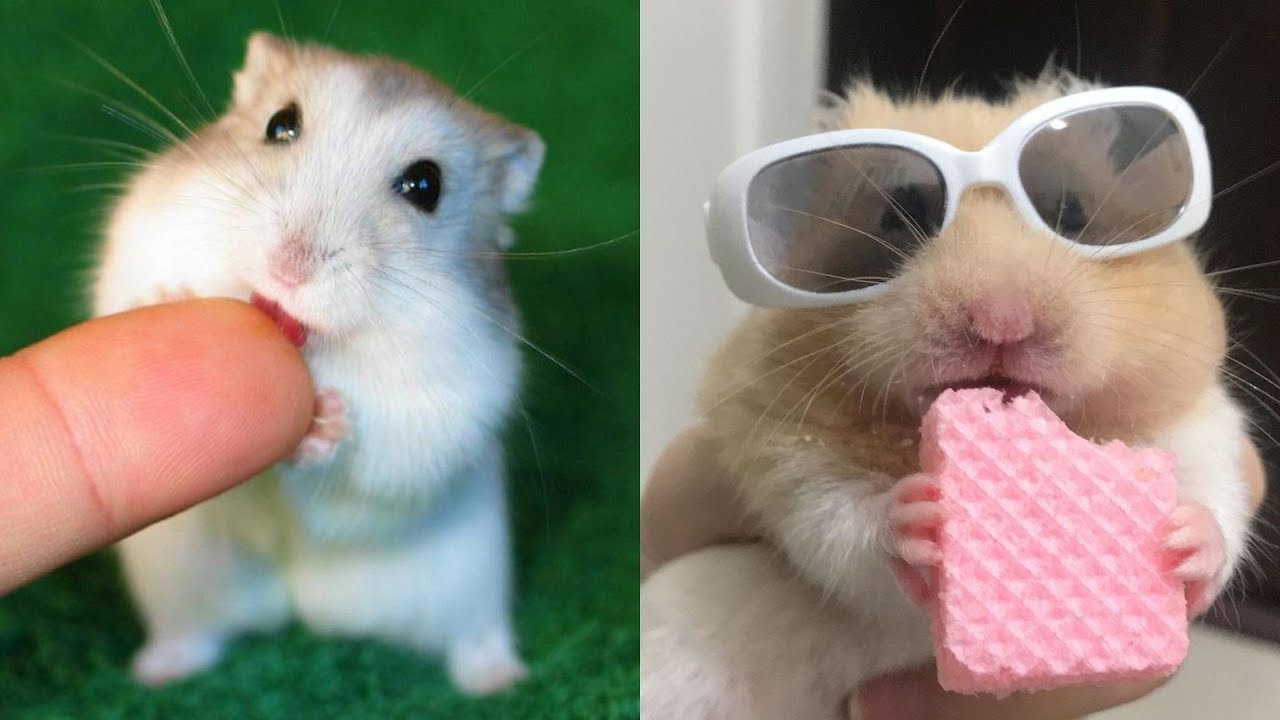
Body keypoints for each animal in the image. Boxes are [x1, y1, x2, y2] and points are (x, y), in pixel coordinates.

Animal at [93, 32, 544, 694]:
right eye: (281, 124)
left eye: (426, 185)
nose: (289, 269)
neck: (315, 347)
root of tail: (302, 607)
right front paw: (168, 300)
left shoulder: (447, 409)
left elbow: (374, 461)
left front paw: (326, 420)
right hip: (180, 576)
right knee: (195, 632)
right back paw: (156, 672)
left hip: (470, 582)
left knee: (472, 637)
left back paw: (501, 679)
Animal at [642, 72, 1254, 719]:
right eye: (899, 215)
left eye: (1071, 213)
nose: (1002, 322)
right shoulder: (785, 452)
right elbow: (843, 523)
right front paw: (919, 519)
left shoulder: (1203, 428)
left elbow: (1219, 504)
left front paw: (1184, 539)